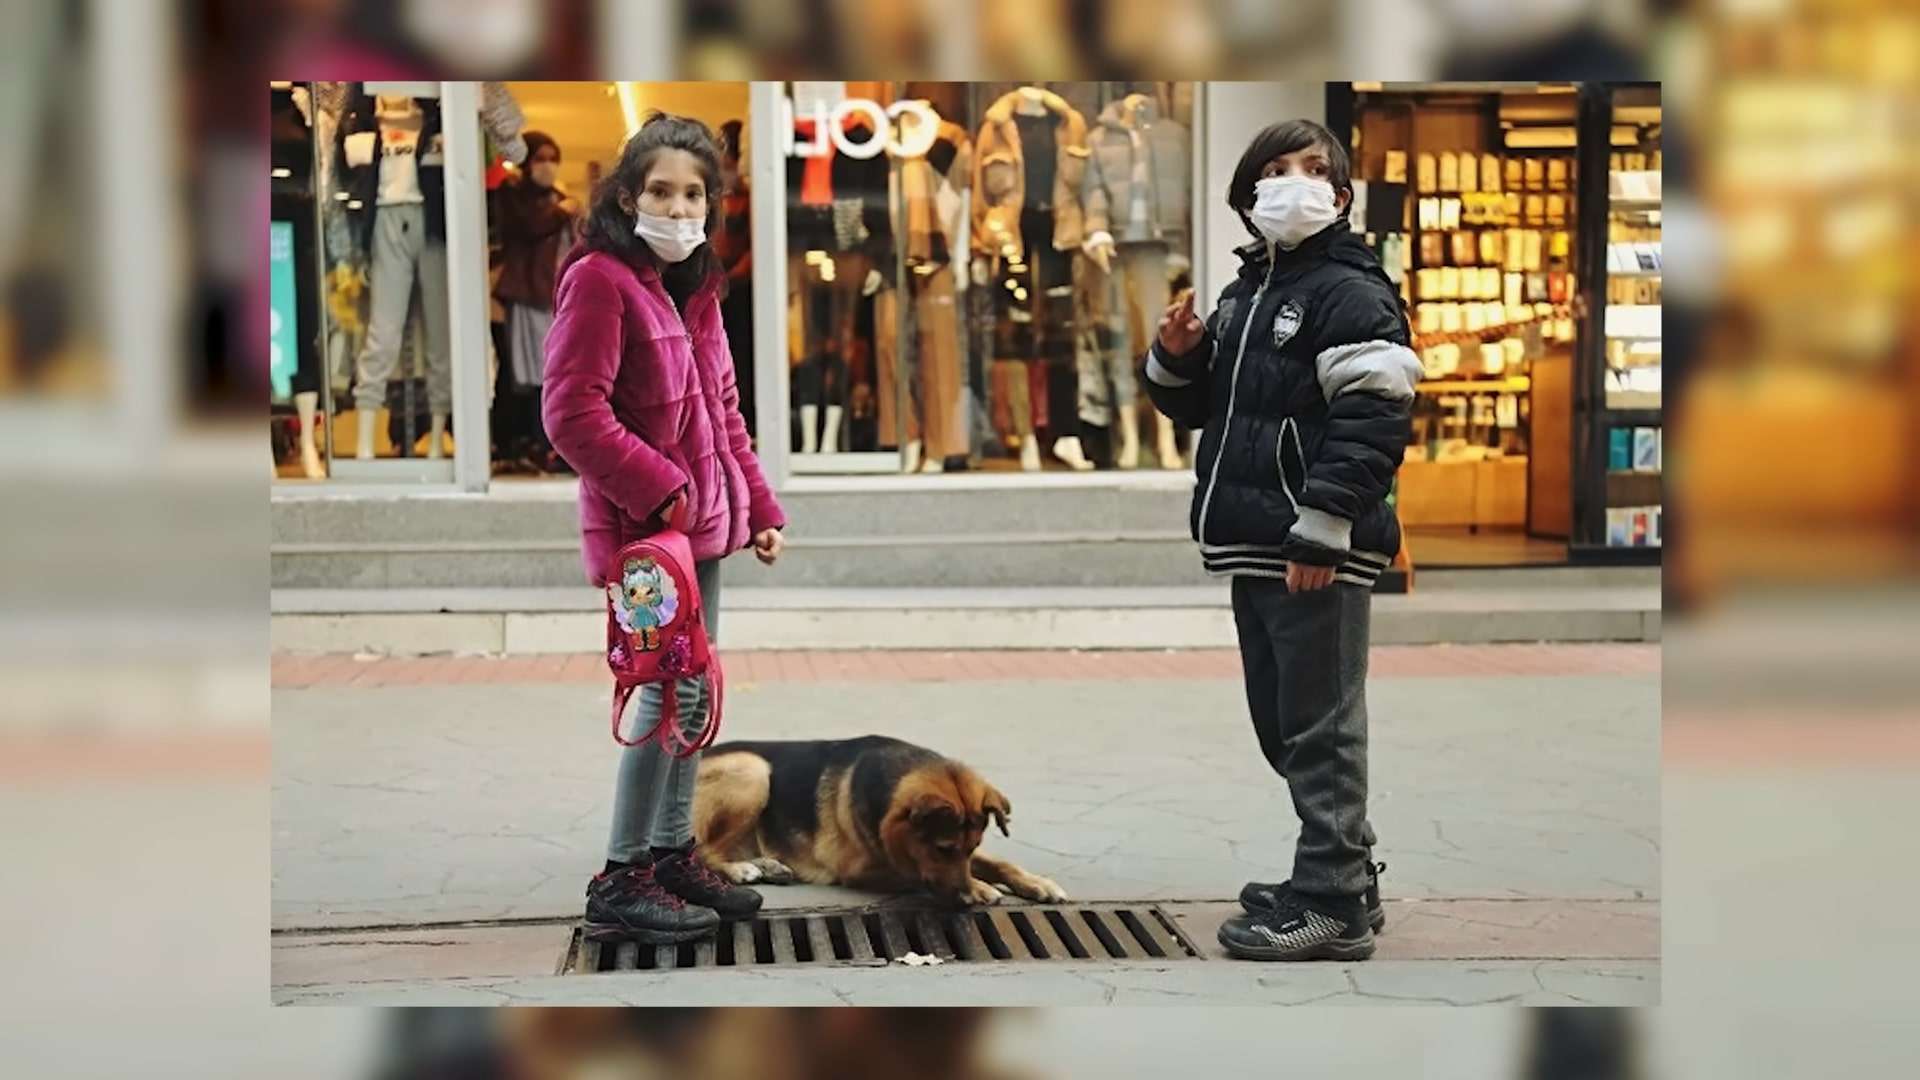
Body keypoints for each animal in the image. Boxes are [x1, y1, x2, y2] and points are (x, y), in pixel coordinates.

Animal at [698, 730, 1075, 899]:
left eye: (970, 847)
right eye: (942, 848)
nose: (964, 895)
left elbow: (999, 863)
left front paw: (1035, 882)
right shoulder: (859, 869)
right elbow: (913, 875)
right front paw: (981, 888)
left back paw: (767, 865)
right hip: (753, 768)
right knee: (701, 850)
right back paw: (739, 869)